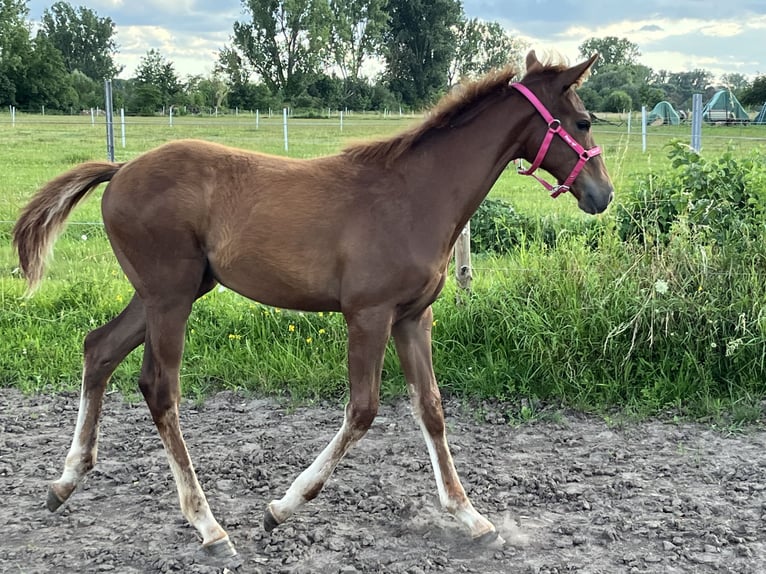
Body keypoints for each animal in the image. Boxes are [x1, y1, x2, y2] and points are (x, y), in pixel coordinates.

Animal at [10, 51, 612, 564]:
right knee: (158, 388)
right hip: (170, 298)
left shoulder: (412, 318)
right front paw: (281, 508)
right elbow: (363, 409)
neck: (414, 195)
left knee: (99, 349)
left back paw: (64, 484)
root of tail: (121, 169)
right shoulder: (368, 315)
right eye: (583, 122)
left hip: (165, 294)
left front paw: (471, 517)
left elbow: (432, 409)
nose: (602, 195)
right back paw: (208, 527)